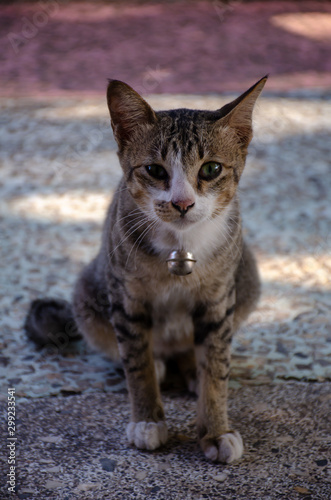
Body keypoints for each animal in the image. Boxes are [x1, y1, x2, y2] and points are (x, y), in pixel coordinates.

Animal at [24, 76, 268, 462]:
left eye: (211, 169)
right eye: (154, 170)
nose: (182, 203)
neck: (180, 246)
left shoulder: (218, 299)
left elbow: (216, 368)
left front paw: (215, 430)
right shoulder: (126, 298)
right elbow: (136, 363)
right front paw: (148, 419)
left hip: (247, 277)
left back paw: (190, 367)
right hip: (89, 292)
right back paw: (157, 364)